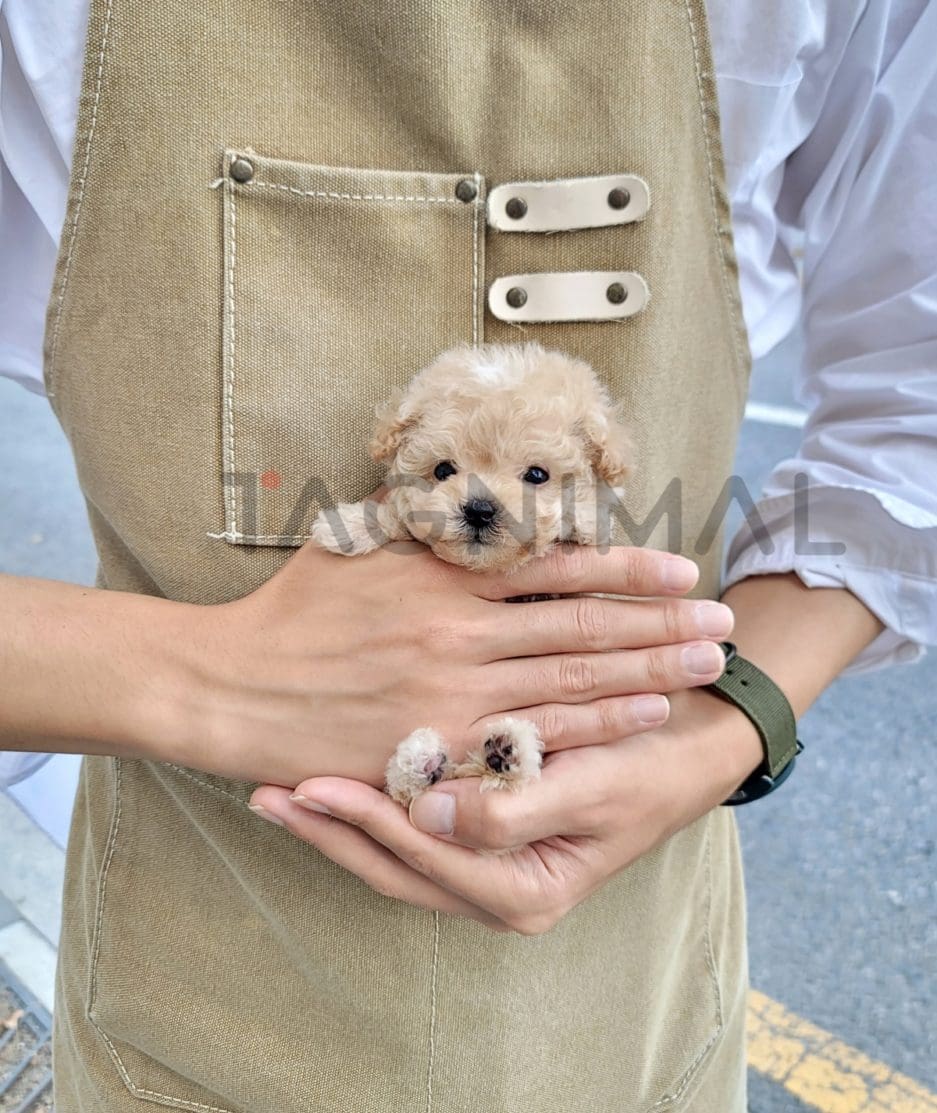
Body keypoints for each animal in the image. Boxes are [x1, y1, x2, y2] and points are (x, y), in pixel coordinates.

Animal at [311, 340, 627, 810]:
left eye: (537, 474)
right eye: (444, 470)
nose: (479, 509)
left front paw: (584, 524)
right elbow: (398, 516)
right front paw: (348, 525)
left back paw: (507, 751)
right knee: (406, 789)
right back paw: (421, 761)